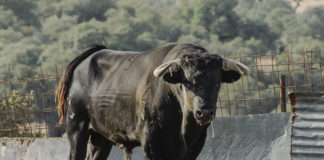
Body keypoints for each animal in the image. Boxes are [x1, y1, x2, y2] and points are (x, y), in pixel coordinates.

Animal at [55, 42, 249, 160]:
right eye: (187, 83)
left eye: (217, 83)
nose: (204, 112)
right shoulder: (150, 141)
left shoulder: (195, 144)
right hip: (76, 127)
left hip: (100, 137)